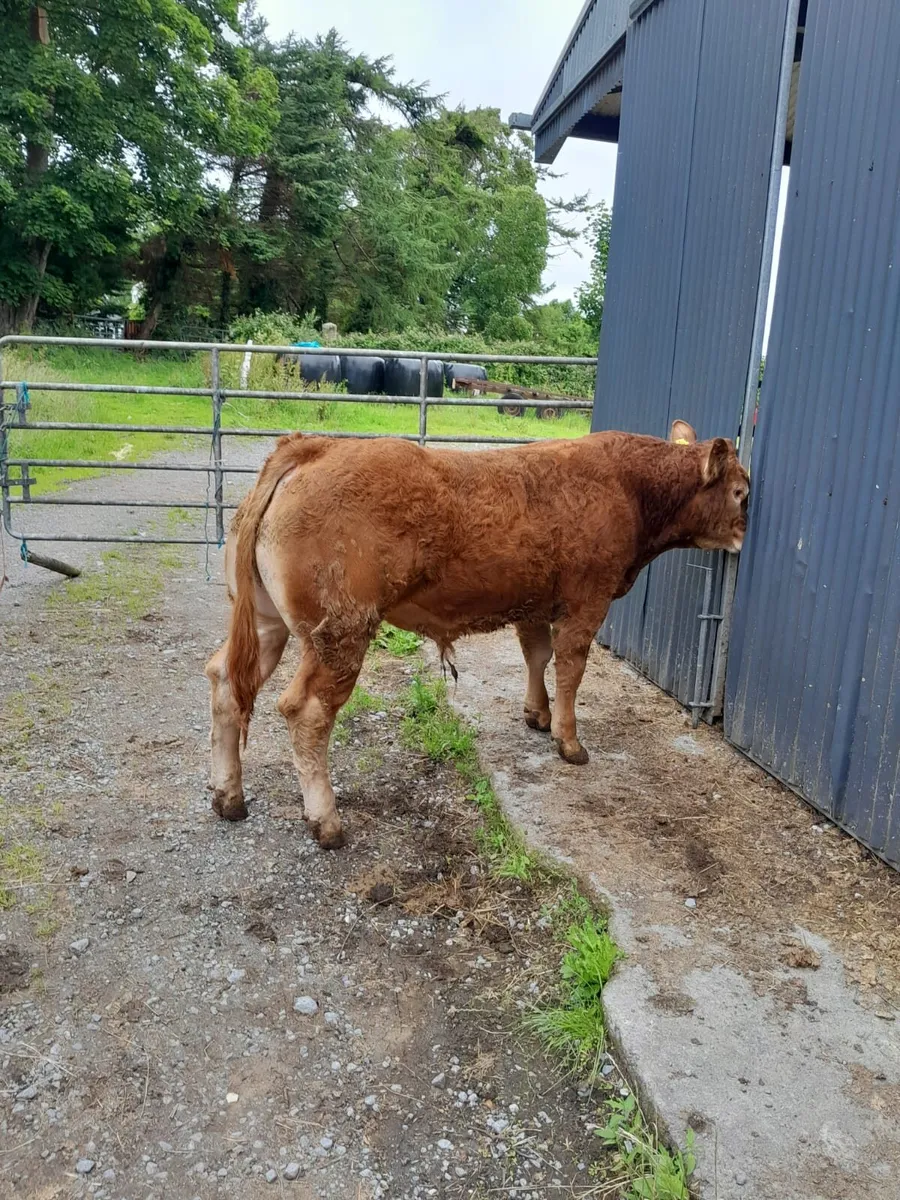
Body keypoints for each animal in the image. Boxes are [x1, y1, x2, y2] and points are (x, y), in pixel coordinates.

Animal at [205, 420, 749, 848]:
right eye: (741, 491)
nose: (745, 534)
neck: (630, 488)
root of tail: (314, 447)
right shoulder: (587, 600)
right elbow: (570, 665)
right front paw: (569, 741)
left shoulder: (534, 602)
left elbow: (537, 654)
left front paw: (537, 714)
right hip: (341, 632)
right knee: (306, 712)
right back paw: (327, 823)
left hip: (266, 623)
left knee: (224, 681)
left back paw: (228, 797)